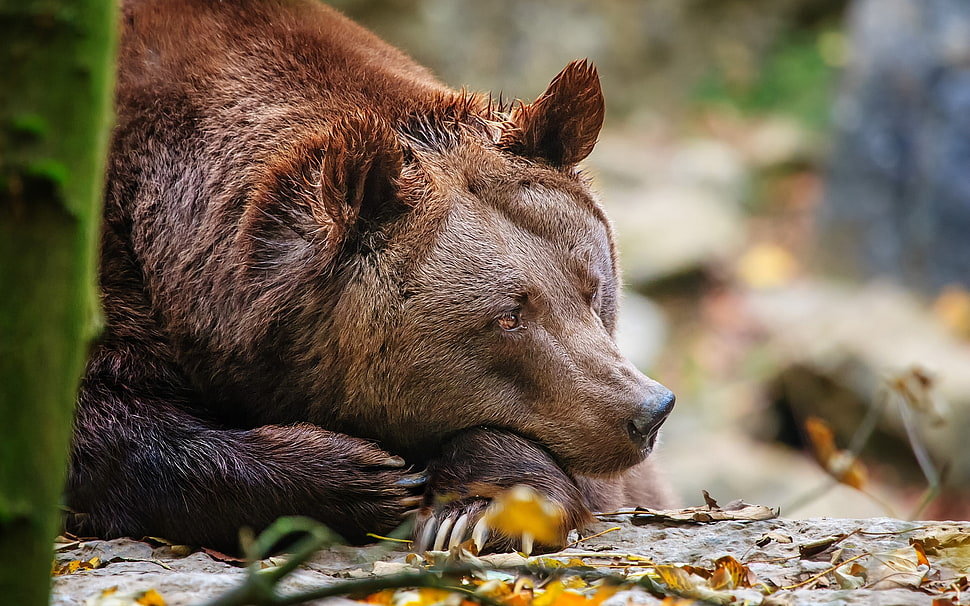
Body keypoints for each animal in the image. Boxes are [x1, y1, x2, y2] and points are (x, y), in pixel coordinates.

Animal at [65, 0, 675, 554]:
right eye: (508, 316)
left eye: (592, 287)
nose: (647, 411)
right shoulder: (104, 262)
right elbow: (104, 425)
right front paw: (364, 476)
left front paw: (475, 509)